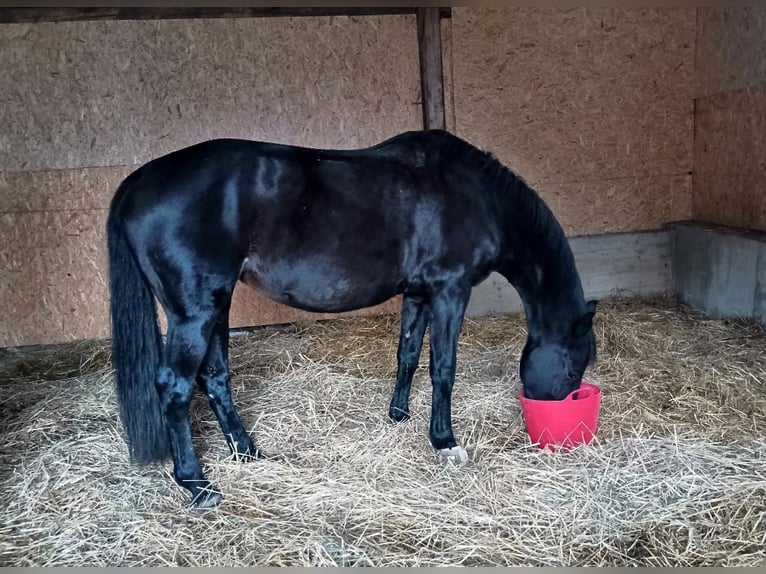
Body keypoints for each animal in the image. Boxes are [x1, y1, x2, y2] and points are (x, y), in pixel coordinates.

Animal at [106, 130, 600, 508]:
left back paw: (247, 453)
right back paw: (197, 484)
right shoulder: (449, 290)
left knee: (215, 377)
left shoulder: (419, 294)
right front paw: (444, 442)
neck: (476, 195)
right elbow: (443, 368)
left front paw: (399, 416)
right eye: (573, 365)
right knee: (175, 387)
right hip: (195, 311)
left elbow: (408, 354)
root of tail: (138, 181)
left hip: (216, 306)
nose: (554, 418)